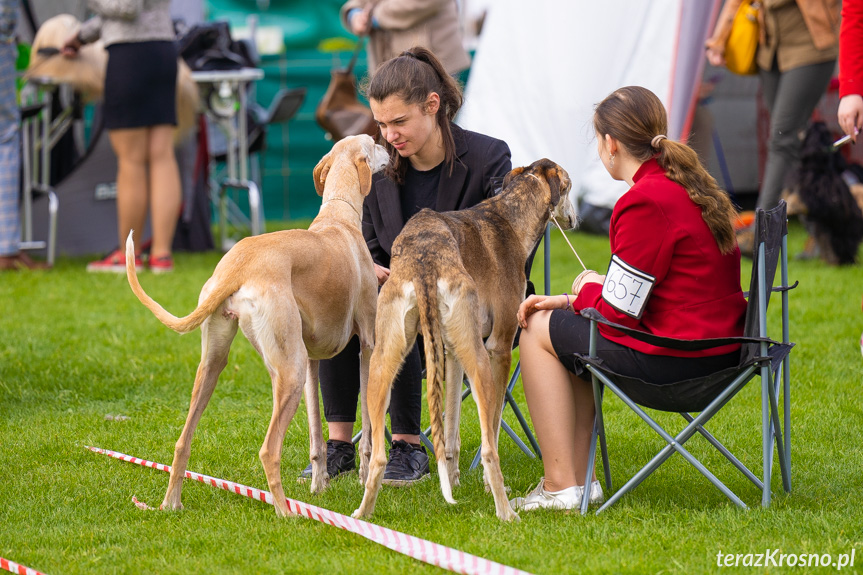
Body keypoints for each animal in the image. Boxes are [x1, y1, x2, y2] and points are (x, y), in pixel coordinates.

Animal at [125, 135, 388, 516]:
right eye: (373, 143)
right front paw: (362, 475)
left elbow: (316, 434)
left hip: (218, 364)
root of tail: (237, 263)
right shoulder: (366, 345)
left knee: (182, 440)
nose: (392, 152)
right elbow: (367, 428)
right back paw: (286, 514)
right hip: (289, 369)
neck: (339, 218)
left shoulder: (313, 360)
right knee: (268, 450)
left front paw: (319, 486)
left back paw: (171, 503)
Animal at [354, 158, 576, 520]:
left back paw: (362, 513)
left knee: (377, 454)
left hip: (383, 361)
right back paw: (506, 512)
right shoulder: (499, 348)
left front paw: (454, 478)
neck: (511, 216)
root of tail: (425, 261)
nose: (574, 219)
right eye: (569, 186)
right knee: (489, 450)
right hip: (479, 361)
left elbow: (451, 430)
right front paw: (485, 485)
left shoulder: (451, 354)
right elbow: (493, 430)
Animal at [784, 122, 863, 266]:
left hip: (835, 236)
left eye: (808, 127)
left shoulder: (823, 199)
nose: (799, 127)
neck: (817, 167)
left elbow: (803, 197)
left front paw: (792, 206)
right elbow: (791, 192)